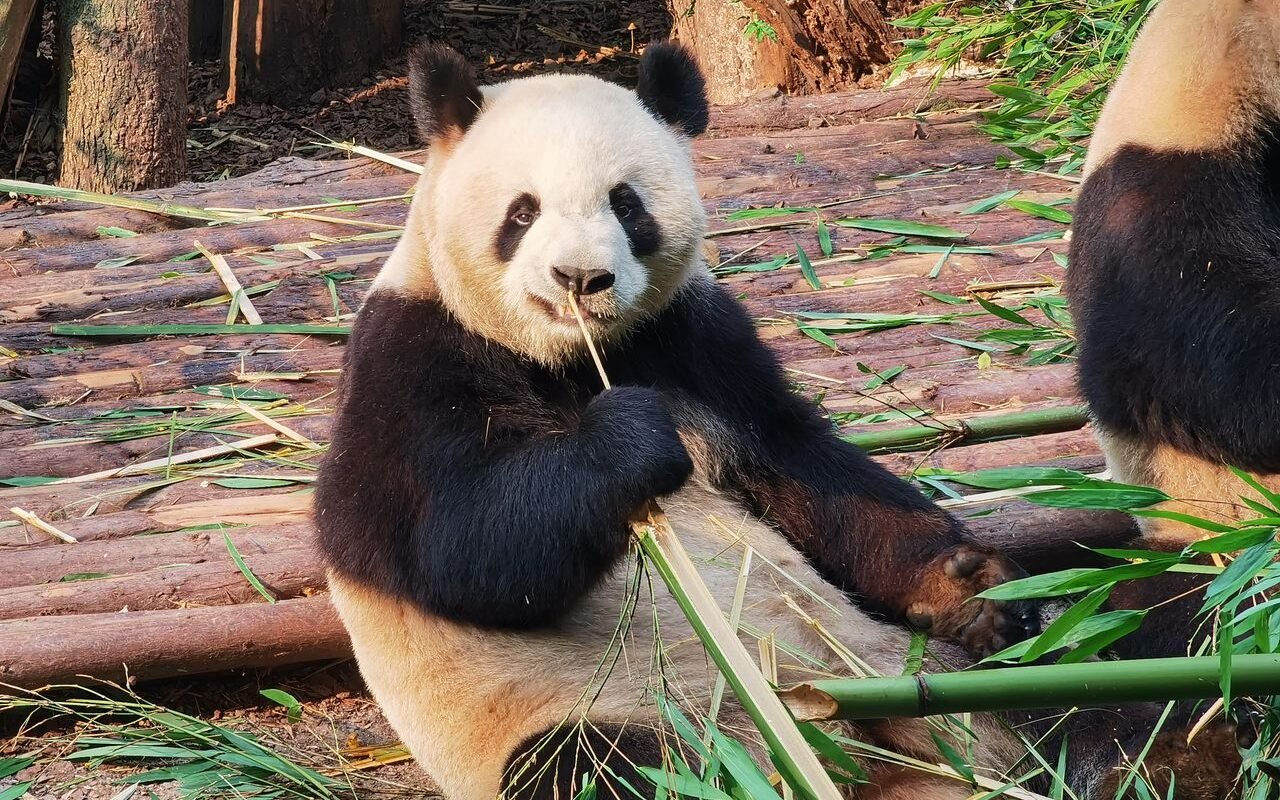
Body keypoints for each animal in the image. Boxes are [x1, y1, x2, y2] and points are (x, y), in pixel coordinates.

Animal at [314, 41, 1236, 800]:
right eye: (523, 211)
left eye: (626, 204)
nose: (581, 280)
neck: (573, 358)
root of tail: (849, 748)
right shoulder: (412, 357)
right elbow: (456, 547)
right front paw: (629, 441)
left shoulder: (696, 342)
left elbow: (807, 473)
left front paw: (967, 583)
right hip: (616, 710)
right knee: (599, 767)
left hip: (929, 669)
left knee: (1100, 655)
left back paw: (1156, 746)